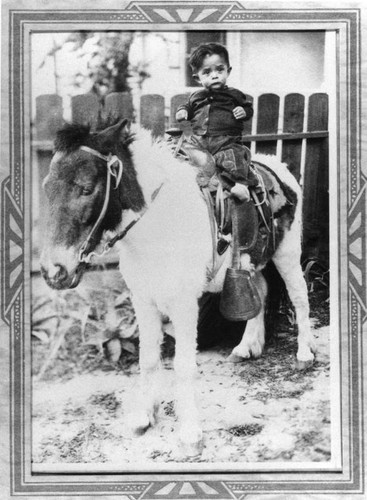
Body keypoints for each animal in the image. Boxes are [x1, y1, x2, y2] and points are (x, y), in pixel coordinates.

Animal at [39, 119, 316, 456]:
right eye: (47, 187)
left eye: (86, 188)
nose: (53, 271)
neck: (160, 228)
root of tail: (279, 168)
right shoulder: (143, 301)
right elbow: (147, 359)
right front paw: (144, 417)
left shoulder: (185, 306)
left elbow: (184, 367)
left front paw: (190, 433)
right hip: (253, 262)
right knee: (260, 292)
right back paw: (246, 346)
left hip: (287, 255)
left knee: (300, 299)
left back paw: (305, 353)